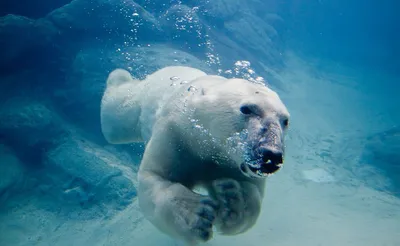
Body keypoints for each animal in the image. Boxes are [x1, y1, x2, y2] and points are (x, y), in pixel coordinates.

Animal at [99, 65, 288, 244]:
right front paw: (197, 215)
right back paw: (118, 76)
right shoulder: (176, 134)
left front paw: (233, 198)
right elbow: (155, 177)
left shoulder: (233, 164)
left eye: (285, 121)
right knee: (117, 117)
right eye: (247, 109)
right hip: (143, 98)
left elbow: (252, 193)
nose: (271, 156)